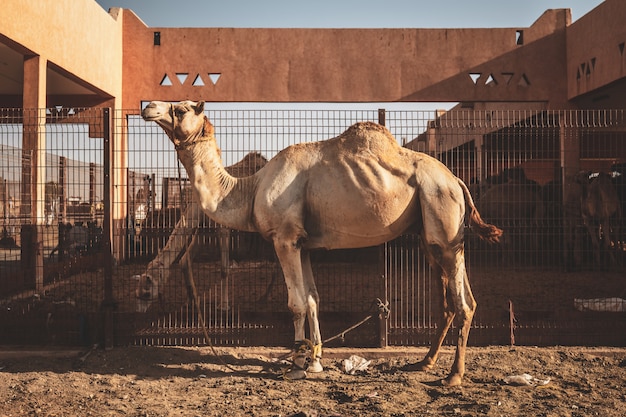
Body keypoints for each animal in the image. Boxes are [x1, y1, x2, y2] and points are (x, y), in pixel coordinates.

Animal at [134, 150, 266, 312]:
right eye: (137, 293)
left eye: (146, 292)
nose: (139, 311)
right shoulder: (201, 230)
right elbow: (184, 261)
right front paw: (191, 302)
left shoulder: (222, 229)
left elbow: (224, 268)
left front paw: (224, 306)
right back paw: (263, 297)